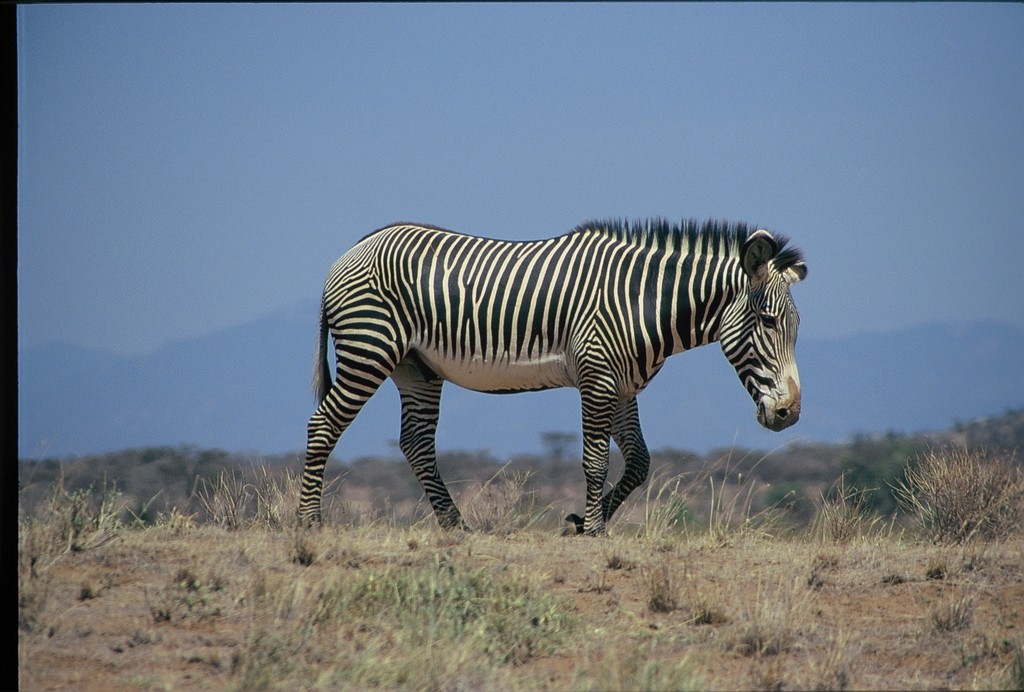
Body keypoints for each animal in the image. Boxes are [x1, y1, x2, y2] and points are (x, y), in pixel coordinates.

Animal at [299, 218, 806, 536]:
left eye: (796, 327)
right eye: (767, 321)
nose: (790, 413)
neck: (642, 301)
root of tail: (348, 253)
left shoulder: (622, 387)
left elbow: (639, 462)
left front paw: (582, 523)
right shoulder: (598, 378)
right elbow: (595, 460)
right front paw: (596, 530)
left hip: (416, 368)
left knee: (416, 443)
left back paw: (456, 526)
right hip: (369, 350)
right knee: (323, 426)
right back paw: (309, 522)